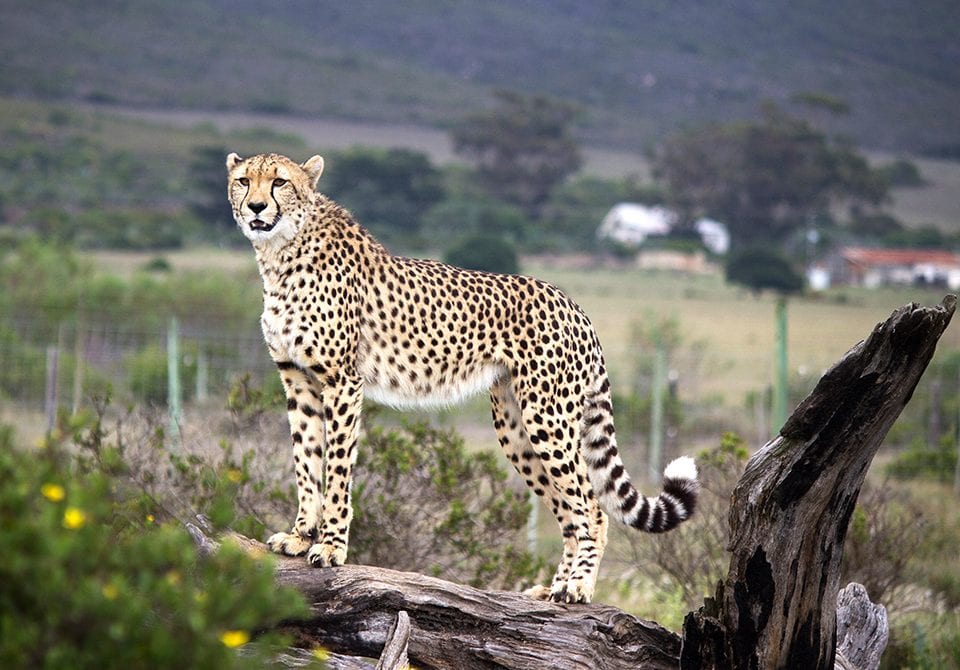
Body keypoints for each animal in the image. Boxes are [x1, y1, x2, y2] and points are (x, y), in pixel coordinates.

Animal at [229, 155, 700, 608]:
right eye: (243, 180)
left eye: (280, 182)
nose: (256, 207)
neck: (281, 251)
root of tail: (573, 304)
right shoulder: (298, 381)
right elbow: (306, 462)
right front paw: (299, 535)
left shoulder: (342, 382)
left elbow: (338, 470)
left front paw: (330, 547)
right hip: (515, 428)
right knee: (569, 512)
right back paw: (553, 589)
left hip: (548, 418)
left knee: (592, 507)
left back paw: (578, 588)